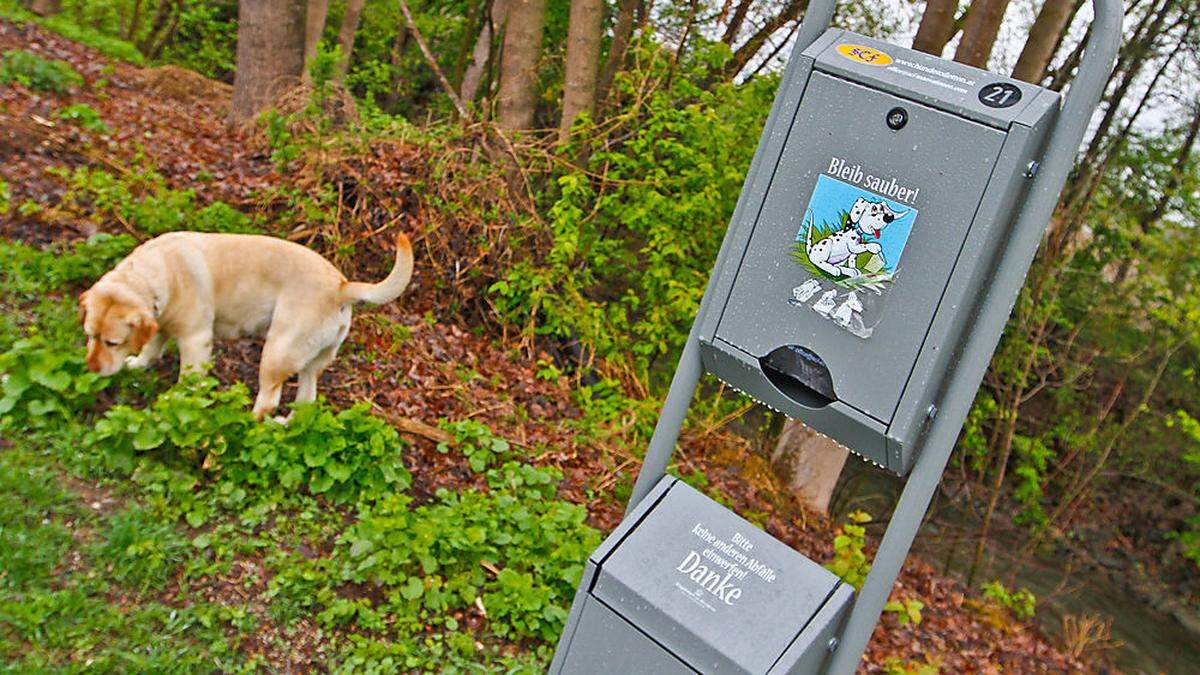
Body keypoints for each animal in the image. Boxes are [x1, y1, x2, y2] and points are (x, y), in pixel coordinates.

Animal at [81, 234, 412, 417]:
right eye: (90, 336)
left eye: (112, 342)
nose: (92, 369)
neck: (156, 273)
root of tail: (341, 286)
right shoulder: (160, 323)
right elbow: (152, 347)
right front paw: (138, 364)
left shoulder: (195, 340)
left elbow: (188, 381)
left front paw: (177, 402)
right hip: (310, 363)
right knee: (306, 400)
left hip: (275, 354)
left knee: (268, 401)